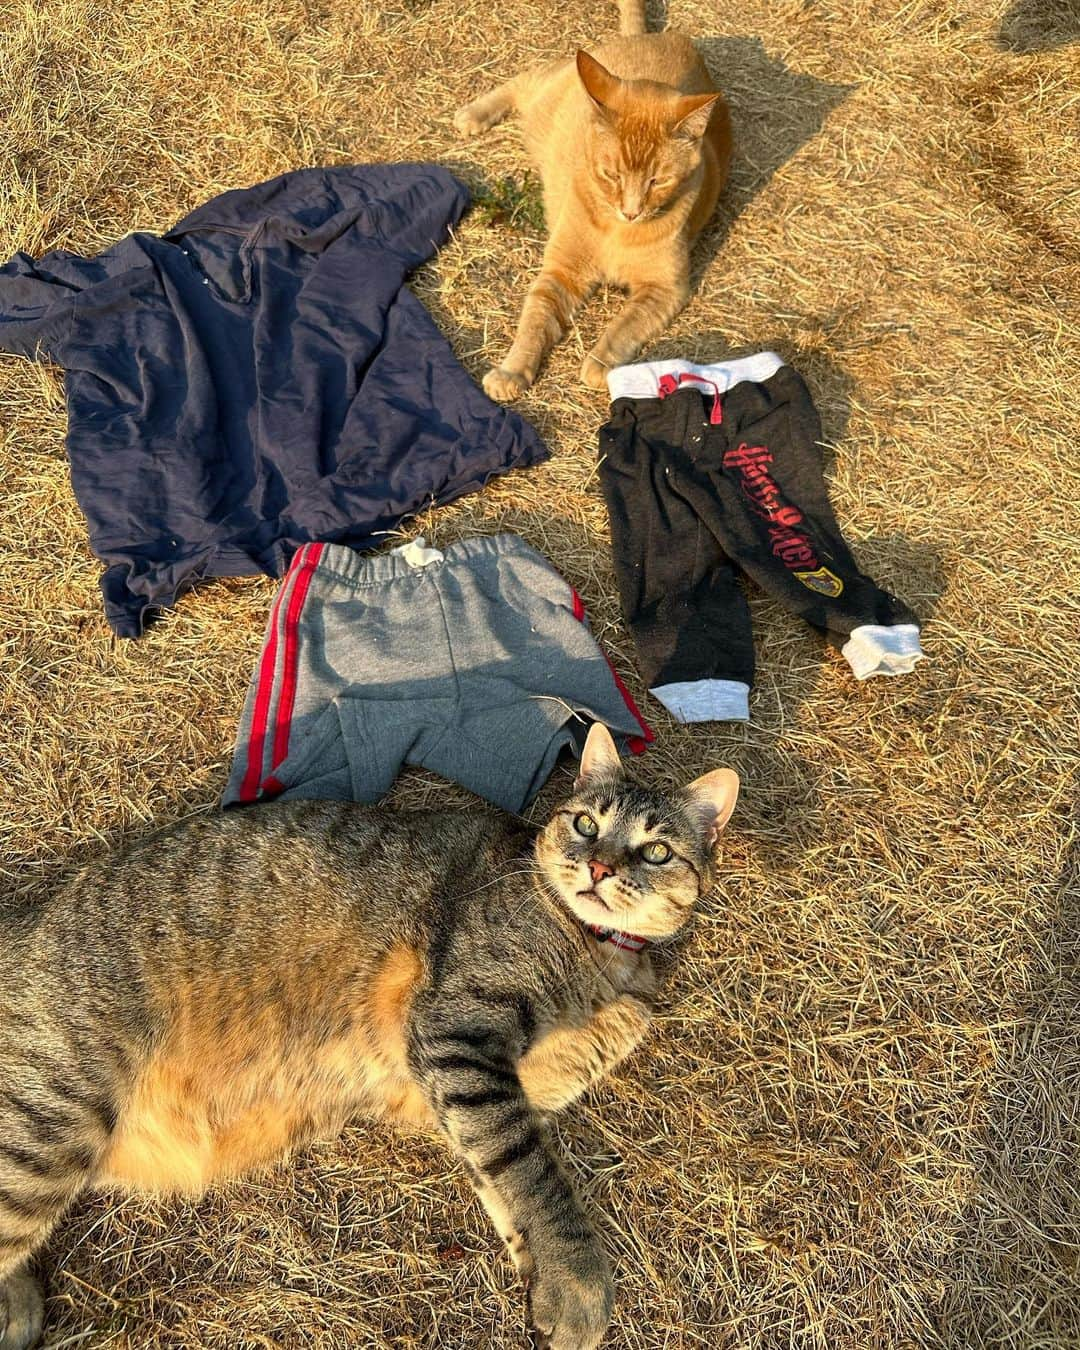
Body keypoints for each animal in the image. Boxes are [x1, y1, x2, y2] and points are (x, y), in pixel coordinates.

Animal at [0, 729, 739, 1350]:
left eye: (656, 850)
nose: (600, 869)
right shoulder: (458, 1032)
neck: (596, 954)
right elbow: (533, 1169)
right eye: (586, 823)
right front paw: (577, 1282)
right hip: (51, 1120)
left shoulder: (459, 1082)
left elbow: (508, 1161)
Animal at [456, 0, 734, 396]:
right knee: (524, 79)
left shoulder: (665, 288)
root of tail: (645, 38)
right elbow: (534, 321)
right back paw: (474, 114)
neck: (617, 232)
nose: (631, 212)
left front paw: (601, 365)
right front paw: (512, 371)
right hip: (543, 99)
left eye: (658, 181)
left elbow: (625, 325)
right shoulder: (561, 273)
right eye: (611, 174)